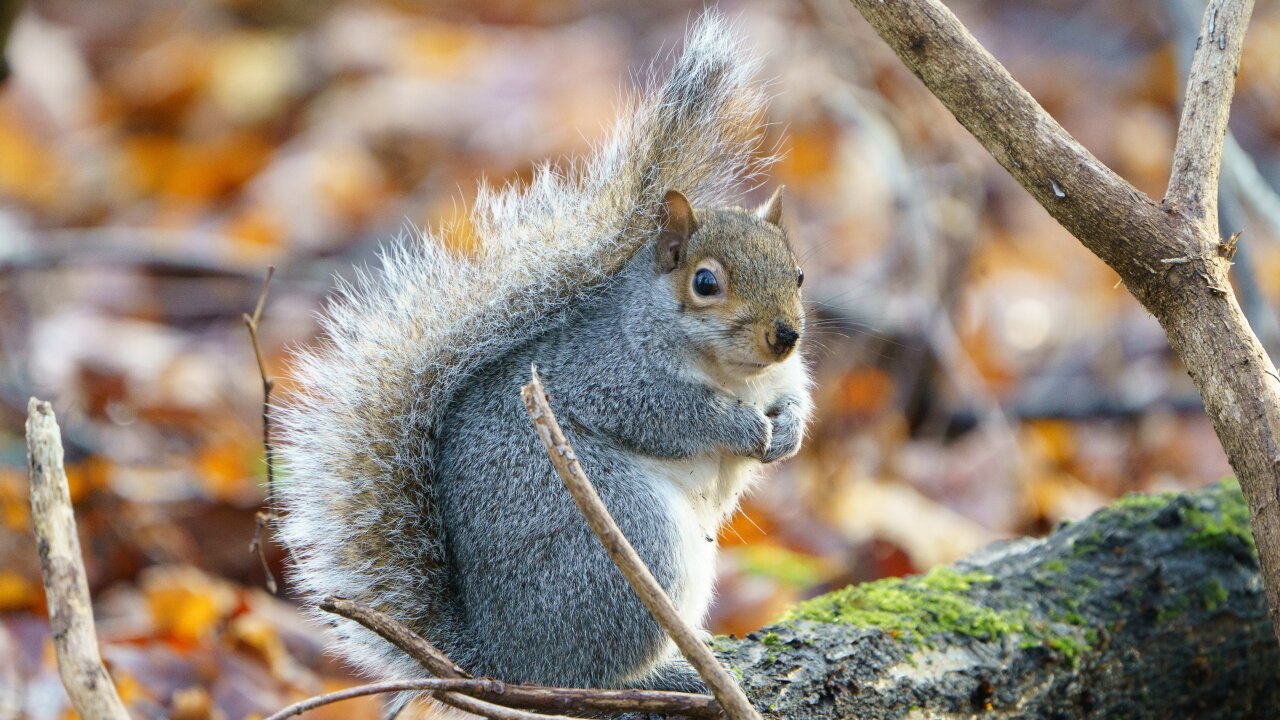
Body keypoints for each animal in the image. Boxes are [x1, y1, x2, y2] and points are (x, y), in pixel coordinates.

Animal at [276, 12, 814, 707]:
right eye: (705, 283)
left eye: (798, 274)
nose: (785, 336)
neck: (732, 371)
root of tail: (500, 659)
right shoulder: (610, 378)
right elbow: (673, 416)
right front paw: (740, 427)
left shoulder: (783, 375)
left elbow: (797, 398)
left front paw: (788, 431)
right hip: (626, 538)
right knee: (588, 673)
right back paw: (666, 675)